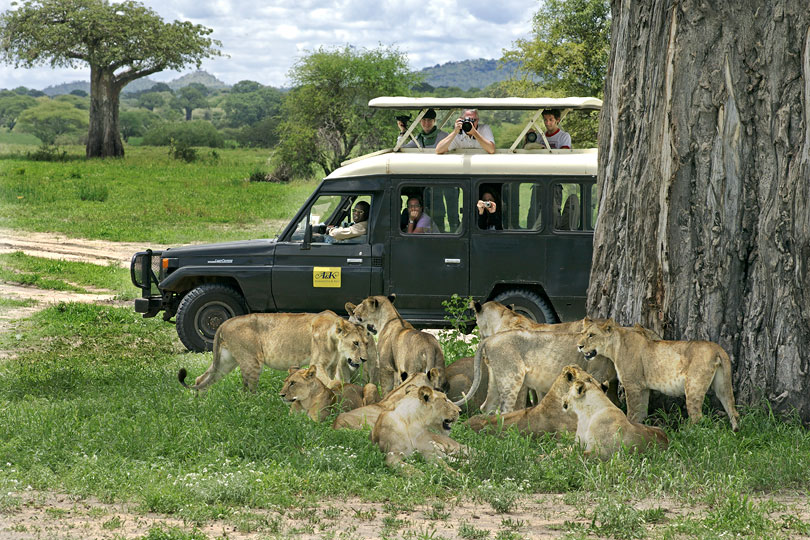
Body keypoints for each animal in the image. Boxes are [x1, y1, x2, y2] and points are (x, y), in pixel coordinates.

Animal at [177, 310, 372, 394]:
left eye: (366, 343)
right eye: (355, 343)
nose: (364, 359)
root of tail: (224, 323)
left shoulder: (331, 367)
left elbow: (332, 383)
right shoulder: (317, 364)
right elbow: (334, 383)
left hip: (226, 361)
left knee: (201, 379)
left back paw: (200, 404)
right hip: (252, 362)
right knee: (248, 390)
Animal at [576, 316, 740, 430]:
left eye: (591, 335)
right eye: (582, 333)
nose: (579, 346)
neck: (615, 346)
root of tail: (717, 348)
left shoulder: (632, 386)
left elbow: (632, 412)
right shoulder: (643, 388)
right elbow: (641, 413)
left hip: (693, 387)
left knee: (698, 417)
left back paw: (687, 434)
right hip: (722, 386)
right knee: (732, 410)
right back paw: (735, 431)